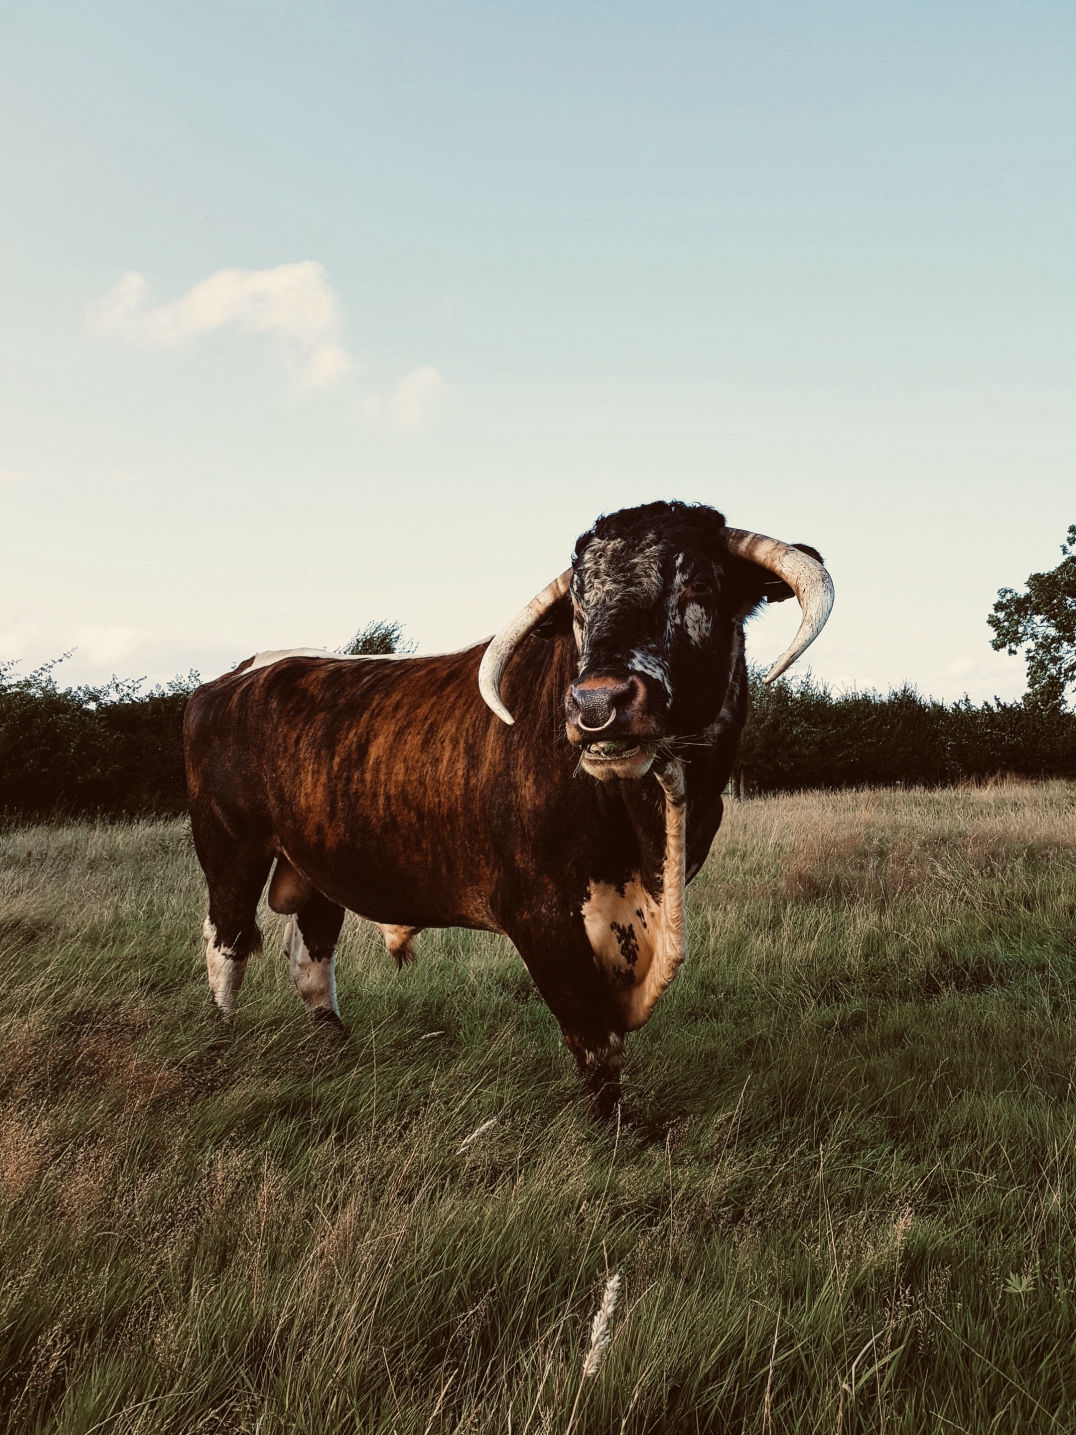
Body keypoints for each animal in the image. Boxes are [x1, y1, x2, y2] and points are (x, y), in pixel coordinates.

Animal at [183, 499, 832, 1113]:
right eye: (578, 603)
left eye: (698, 582)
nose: (596, 704)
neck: (651, 830)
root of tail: (238, 675)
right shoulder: (538, 913)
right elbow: (595, 1037)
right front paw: (618, 1131)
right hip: (229, 848)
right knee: (226, 942)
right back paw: (221, 1045)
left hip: (318, 862)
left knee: (311, 954)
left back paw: (336, 1047)